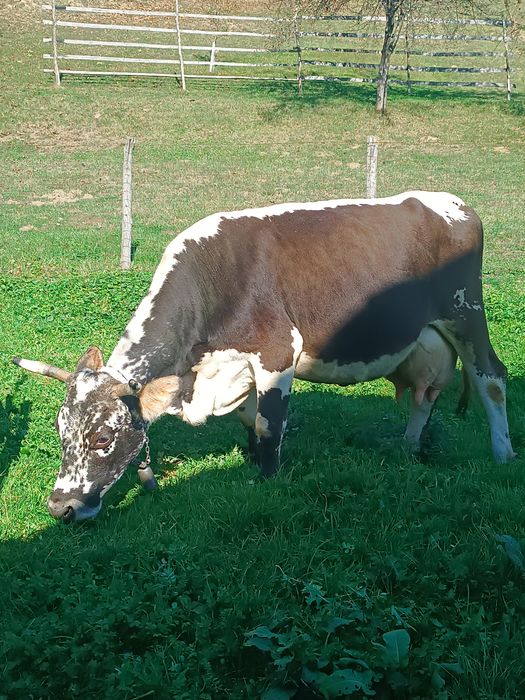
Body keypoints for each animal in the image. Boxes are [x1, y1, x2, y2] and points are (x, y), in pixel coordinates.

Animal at [13, 191, 515, 522]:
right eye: (60, 431)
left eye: (102, 438)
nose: (60, 506)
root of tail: (452, 203)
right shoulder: (238, 370)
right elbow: (250, 422)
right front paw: (251, 462)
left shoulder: (277, 352)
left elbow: (270, 426)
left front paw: (268, 480)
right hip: (425, 340)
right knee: (423, 396)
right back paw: (409, 448)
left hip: (466, 312)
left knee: (491, 378)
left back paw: (503, 453)